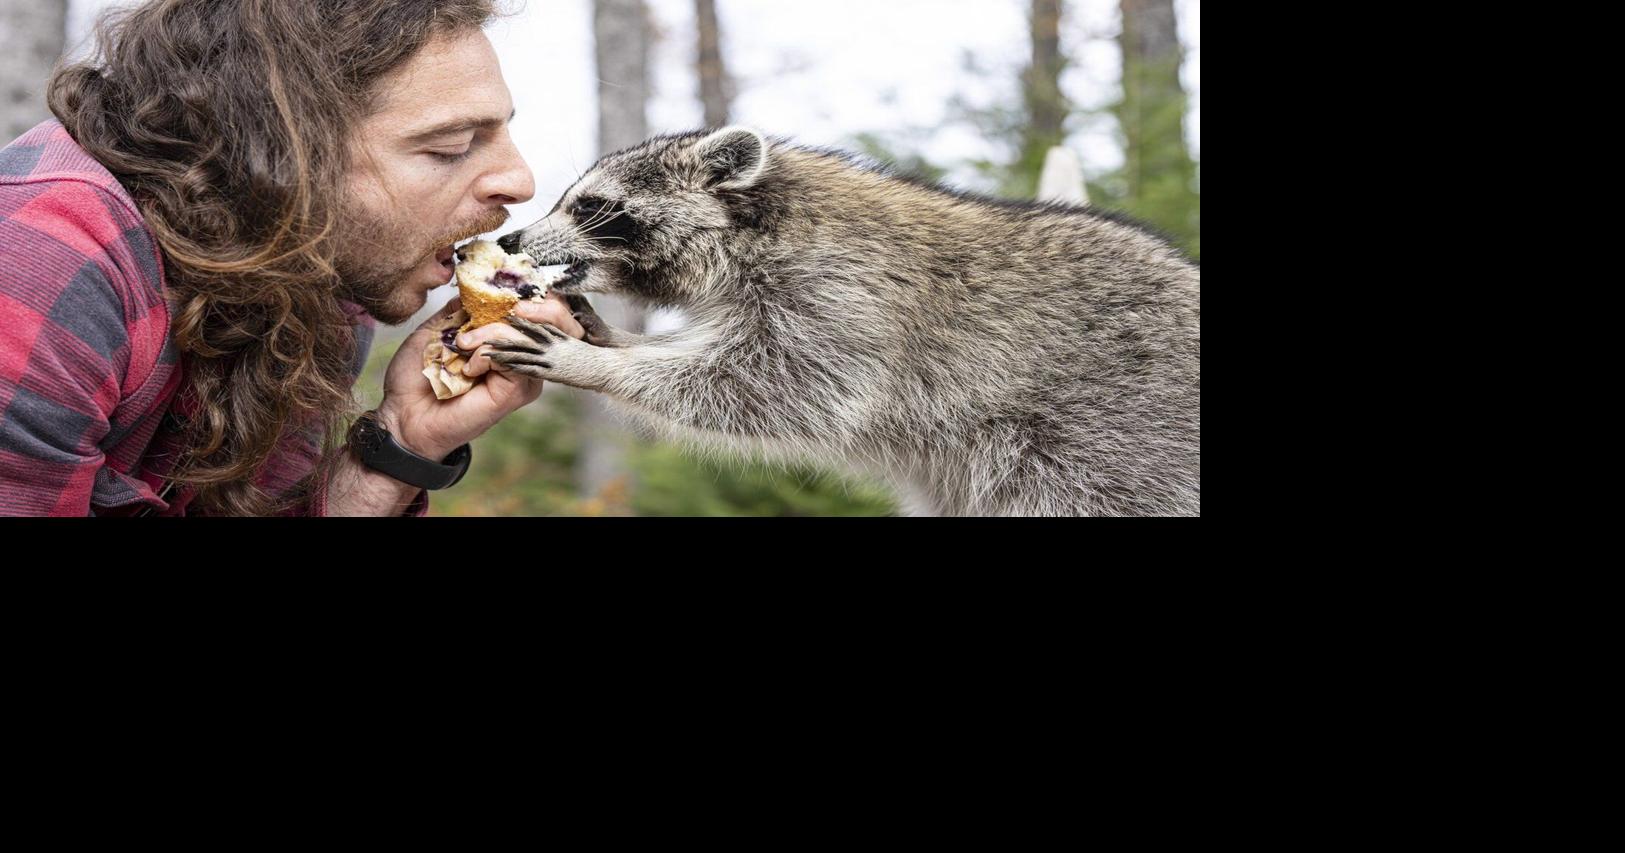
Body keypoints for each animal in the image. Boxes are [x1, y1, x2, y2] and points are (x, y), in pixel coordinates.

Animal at [489, 127, 1200, 516]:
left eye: (589, 206)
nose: (511, 238)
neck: (755, 229)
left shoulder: (847, 298)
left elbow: (778, 388)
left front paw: (602, 364)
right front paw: (620, 341)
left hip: (1112, 453)